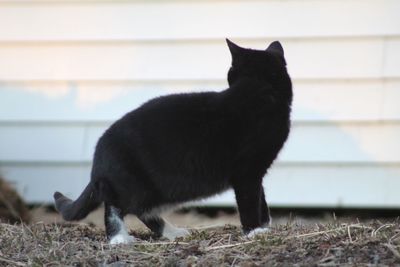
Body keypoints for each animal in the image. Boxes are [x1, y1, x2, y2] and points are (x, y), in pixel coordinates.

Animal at [54, 38, 290, 246]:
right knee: (114, 205)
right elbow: (250, 200)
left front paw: (265, 225)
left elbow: (261, 198)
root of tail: (99, 154)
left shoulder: (257, 170)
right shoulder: (246, 172)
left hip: (155, 190)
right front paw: (254, 231)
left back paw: (172, 232)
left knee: (142, 211)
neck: (256, 89)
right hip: (134, 184)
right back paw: (118, 238)